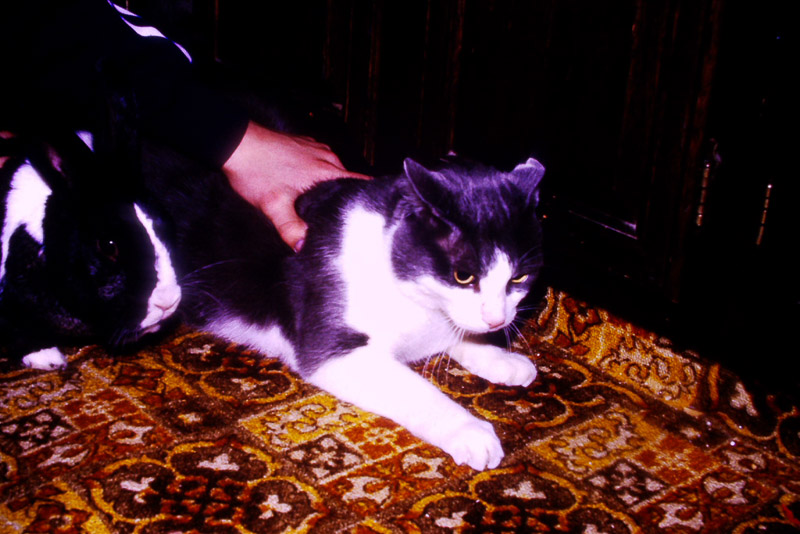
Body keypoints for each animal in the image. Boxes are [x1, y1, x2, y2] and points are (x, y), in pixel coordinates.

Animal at [145, 142, 545, 471]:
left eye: (520, 278)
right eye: (463, 276)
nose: (497, 320)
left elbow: (457, 333)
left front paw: (501, 358)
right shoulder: (331, 345)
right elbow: (415, 389)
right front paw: (470, 431)